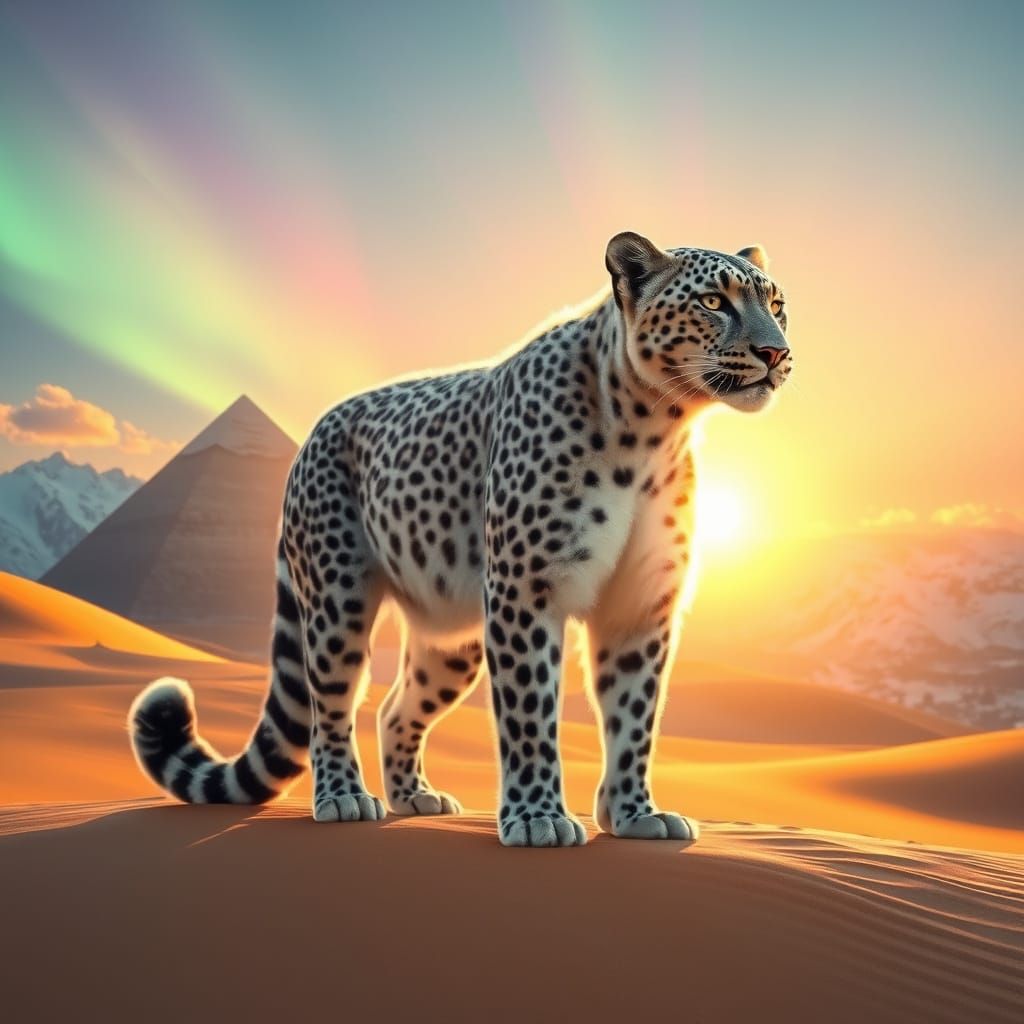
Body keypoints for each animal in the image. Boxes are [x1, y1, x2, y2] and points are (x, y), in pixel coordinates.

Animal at [129, 231, 792, 847]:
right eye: (713, 301)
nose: (776, 352)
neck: (656, 428)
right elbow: (530, 712)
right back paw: (344, 797)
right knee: (331, 705)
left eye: (777, 305)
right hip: (337, 600)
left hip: (452, 637)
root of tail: (312, 435)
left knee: (395, 708)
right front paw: (537, 818)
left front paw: (634, 813)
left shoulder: (641, 603)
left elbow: (635, 715)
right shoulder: (527, 589)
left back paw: (413, 796)